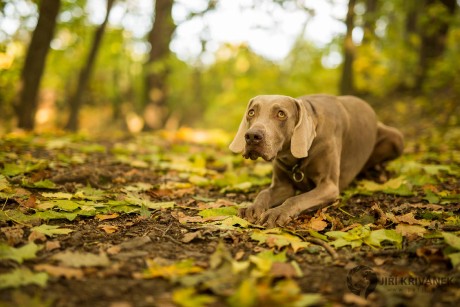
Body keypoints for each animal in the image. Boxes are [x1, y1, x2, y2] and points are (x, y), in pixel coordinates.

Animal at [230, 95, 402, 227]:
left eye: (281, 114)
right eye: (251, 112)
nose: (252, 136)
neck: (293, 158)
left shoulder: (329, 186)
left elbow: (295, 199)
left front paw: (277, 213)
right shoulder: (282, 186)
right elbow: (264, 193)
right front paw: (251, 208)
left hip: (396, 137)